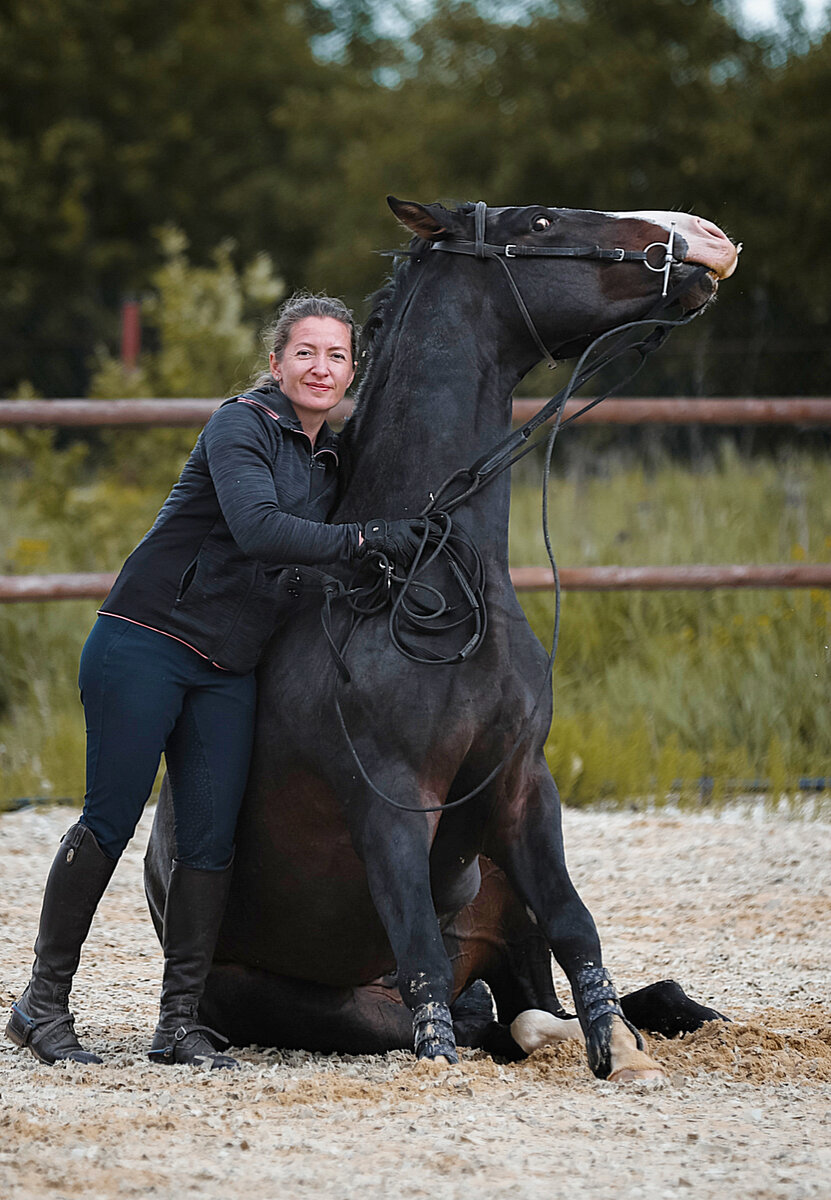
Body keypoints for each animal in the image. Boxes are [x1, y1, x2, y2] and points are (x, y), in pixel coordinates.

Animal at [145, 196, 734, 1080]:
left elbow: (575, 921)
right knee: (482, 1018)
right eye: (540, 221)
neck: (436, 582)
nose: (705, 238)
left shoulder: (523, 786)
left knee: (523, 1001)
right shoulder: (391, 799)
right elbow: (421, 954)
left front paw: (622, 1053)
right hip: (319, 1002)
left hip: (497, 896)